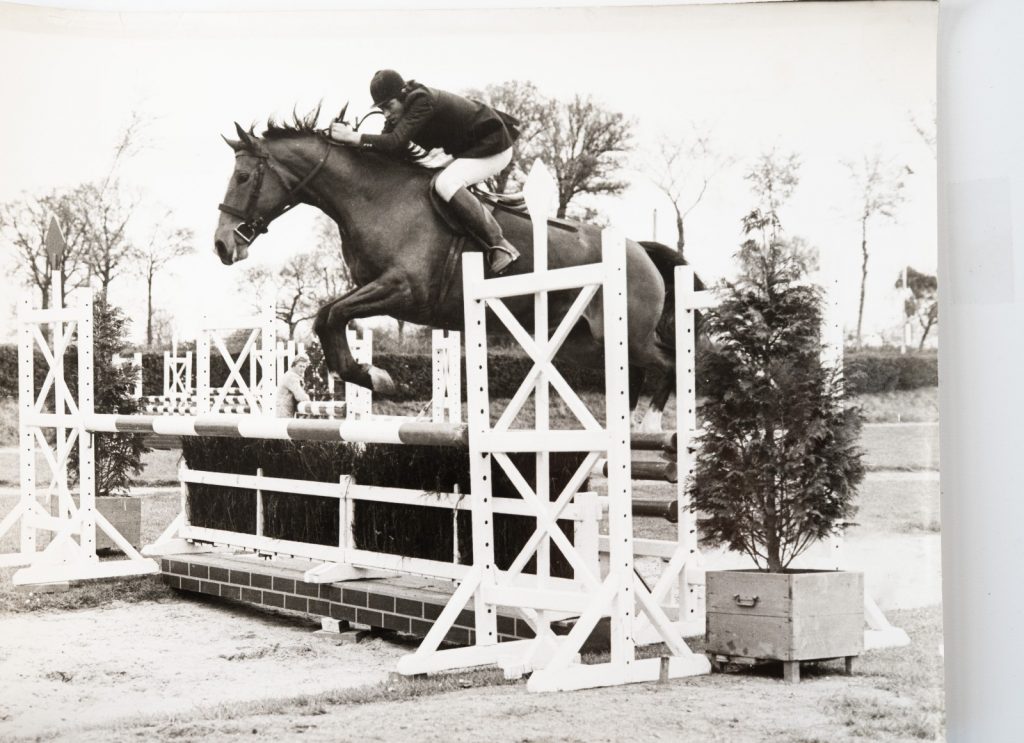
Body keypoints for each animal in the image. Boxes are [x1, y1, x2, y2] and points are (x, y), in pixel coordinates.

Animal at [213, 114, 685, 430]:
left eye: (243, 177)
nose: (222, 245)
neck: (373, 197)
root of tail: (638, 249)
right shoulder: (373, 287)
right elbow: (328, 316)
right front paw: (371, 375)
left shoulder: (403, 290)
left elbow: (330, 315)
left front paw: (378, 378)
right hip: (581, 342)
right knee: (632, 370)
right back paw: (625, 426)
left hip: (626, 333)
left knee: (669, 360)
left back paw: (650, 423)